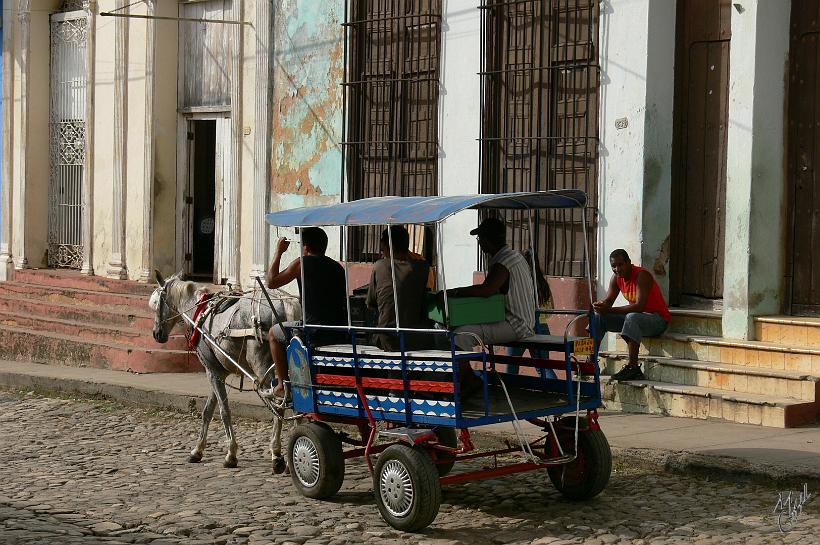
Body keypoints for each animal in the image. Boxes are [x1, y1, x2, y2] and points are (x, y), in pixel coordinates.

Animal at [149, 270, 300, 470]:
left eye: (156, 303)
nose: (157, 334)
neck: (200, 312)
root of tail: (286, 303)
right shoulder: (217, 372)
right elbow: (207, 411)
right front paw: (197, 451)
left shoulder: (212, 371)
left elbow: (223, 410)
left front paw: (231, 454)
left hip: (262, 367)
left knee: (278, 404)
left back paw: (276, 453)